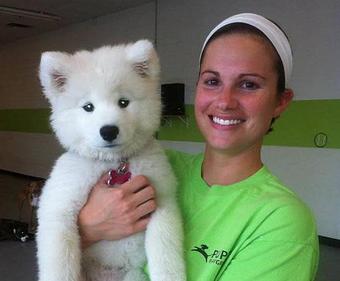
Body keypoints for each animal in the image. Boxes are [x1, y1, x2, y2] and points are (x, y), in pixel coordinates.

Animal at [37, 39, 186, 280]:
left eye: (123, 102)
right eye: (88, 107)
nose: (108, 131)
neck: (114, 163)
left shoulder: (163, 201)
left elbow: (165, 253)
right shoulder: (59, 208)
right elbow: (60, 265)